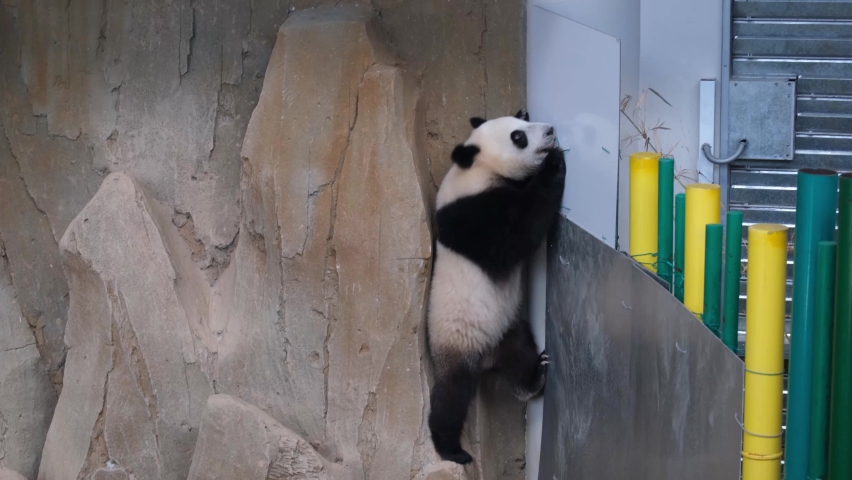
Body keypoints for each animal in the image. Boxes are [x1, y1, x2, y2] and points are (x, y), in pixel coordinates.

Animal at [427, 109, 566, 465]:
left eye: (523, 125)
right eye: (519, 137)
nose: (550, 130)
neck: (478, 169)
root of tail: (487, 357)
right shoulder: (473, 216)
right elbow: (521, 230)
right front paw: (554, 162)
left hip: (508, 327)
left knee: (520, 352)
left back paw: (534, 378)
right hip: (456, 341)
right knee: (450, 396)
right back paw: (451, 450)